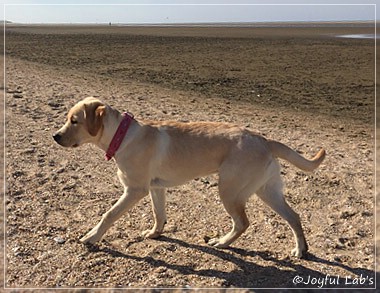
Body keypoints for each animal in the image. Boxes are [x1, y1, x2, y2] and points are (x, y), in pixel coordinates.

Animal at [53, 97, 326, 256]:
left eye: (74, 121)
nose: (55, 136)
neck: (122, 134)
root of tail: (265, 139)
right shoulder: (156, 188)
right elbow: (159, 214)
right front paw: (155, 233)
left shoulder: (135, 190)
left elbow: (108, 215)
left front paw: (92, 237)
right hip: (267, 190)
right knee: (294, 217)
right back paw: (301, 249)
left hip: (230, 190)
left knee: (242, 223)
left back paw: (222, 242)